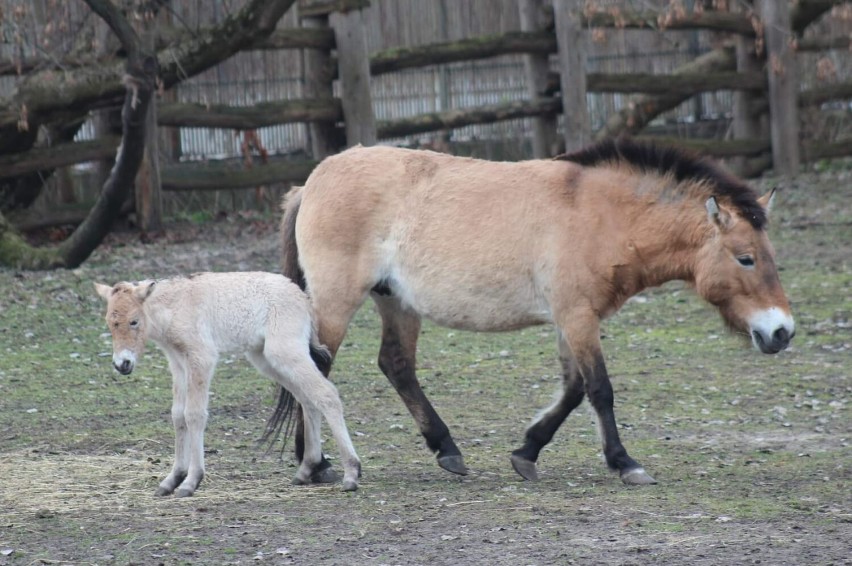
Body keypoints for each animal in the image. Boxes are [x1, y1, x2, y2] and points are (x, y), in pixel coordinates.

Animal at [95, 272, 362, 496]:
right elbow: (178, 415)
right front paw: (172, 479)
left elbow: (194, 415)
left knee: (325, 394)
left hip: (285, 351)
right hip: (266, 358)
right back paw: (306, 469)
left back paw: (351, 473)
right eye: (109, 322)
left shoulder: (202, 357)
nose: (122, 364)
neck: (176, 306)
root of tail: (304, 299)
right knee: (308, 398)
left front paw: (191, 481)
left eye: (134, 321)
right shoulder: (178, 362)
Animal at [276, 141, 796, 488]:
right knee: (314, 369)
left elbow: (573, 390)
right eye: (746, 258)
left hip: (395, 301)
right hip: (338, 299)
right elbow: (599, 390)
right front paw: (625, 463)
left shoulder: (573, 319)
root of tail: (312, 180)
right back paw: (315, 462)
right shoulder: (578, 316)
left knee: (396, 365)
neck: (603, 216)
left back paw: (446, 450)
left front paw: (527, 452)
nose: (782, 332)